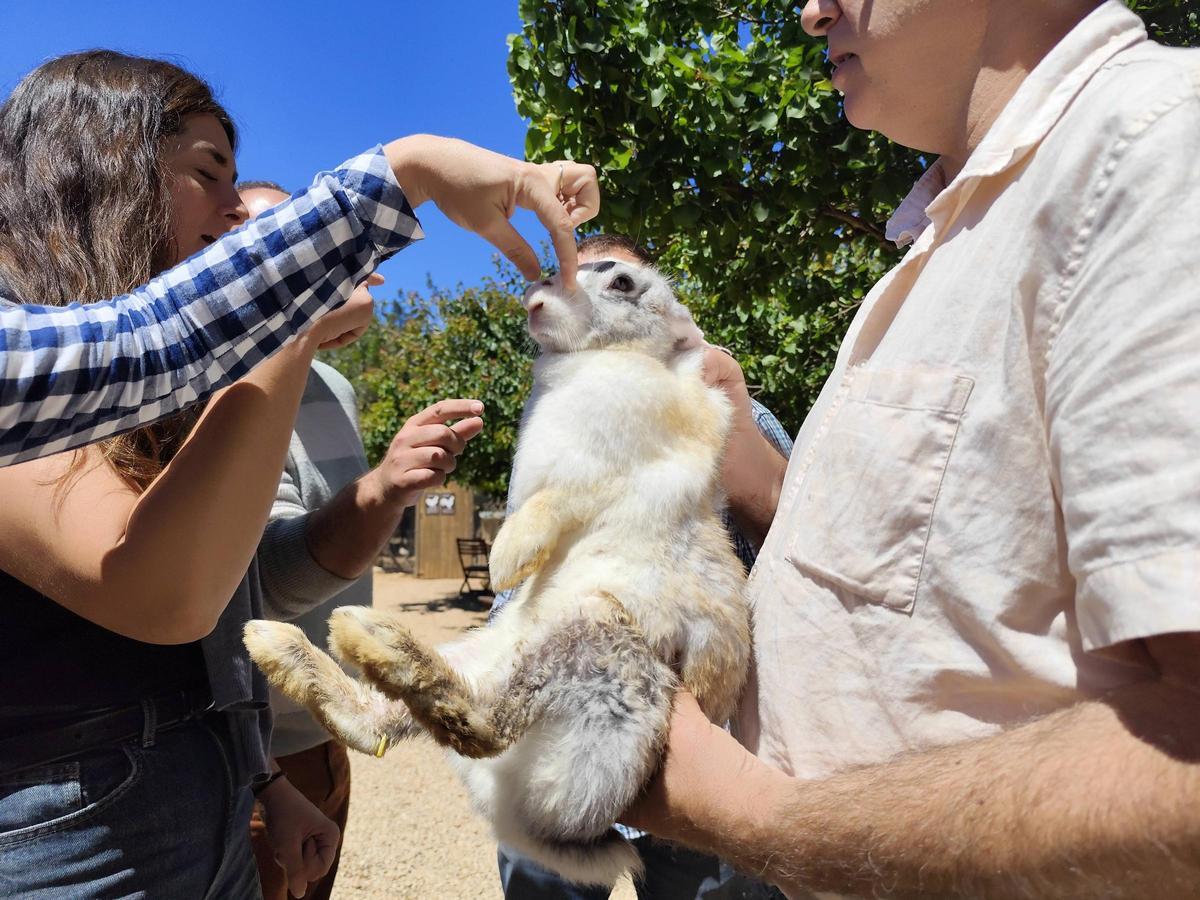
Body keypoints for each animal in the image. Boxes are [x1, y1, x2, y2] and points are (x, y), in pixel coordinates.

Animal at [244, 256, 751, 888]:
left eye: (622, 282)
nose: (538, 293)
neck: (605, 356)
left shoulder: (589, 478)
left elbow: (544, 512)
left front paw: (505, 560)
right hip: (487, 652)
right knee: (382, 722)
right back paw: (285, 643)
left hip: (602, 652)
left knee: (481, 723)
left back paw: (369, 638)